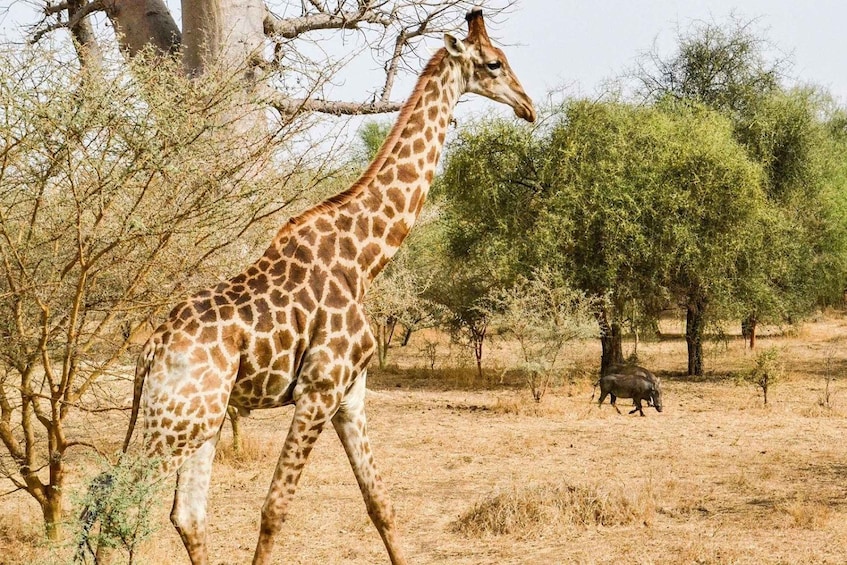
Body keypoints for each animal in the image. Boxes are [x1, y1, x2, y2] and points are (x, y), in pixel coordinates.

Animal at [120, 9, 535, 565]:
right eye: (493, 63)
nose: (529, 107)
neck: (364, 258)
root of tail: (149, 351)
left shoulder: (350, 395)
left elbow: (381, 502)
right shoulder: (318, 390)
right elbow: (274, 508)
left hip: (196, 420)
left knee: (185, 514)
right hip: (175, 422)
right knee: (115, 505)